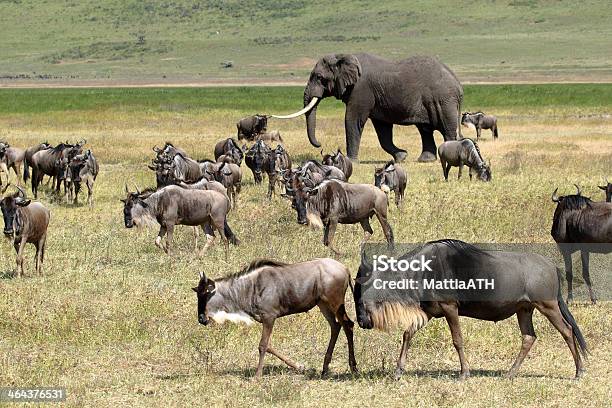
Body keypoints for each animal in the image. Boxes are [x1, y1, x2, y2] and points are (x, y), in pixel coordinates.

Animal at [274, 53, 462, 162]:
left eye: (319, 77)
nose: (320, 144)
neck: (343, 56)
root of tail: (458, 84)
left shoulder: (361, 89)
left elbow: (353, 119)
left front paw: (350, 161)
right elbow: (382, 130)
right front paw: (402, 156)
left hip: (444, 101)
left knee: (447, 129)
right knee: (425, 130)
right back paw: (425, 160)